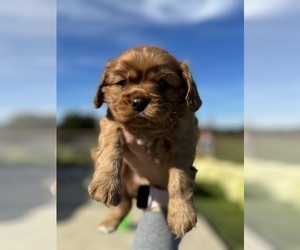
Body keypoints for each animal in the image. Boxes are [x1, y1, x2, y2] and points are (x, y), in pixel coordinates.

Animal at [88, 46, 202, 237]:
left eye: (163, 84)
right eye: (122, 83)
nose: (138, 102)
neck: (145, 130)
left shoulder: (184, 141)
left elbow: (180, 181)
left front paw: (181, 216)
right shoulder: (110, 123)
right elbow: (110, 148)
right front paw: (105, 185)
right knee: (124, 203)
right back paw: (109, 222)